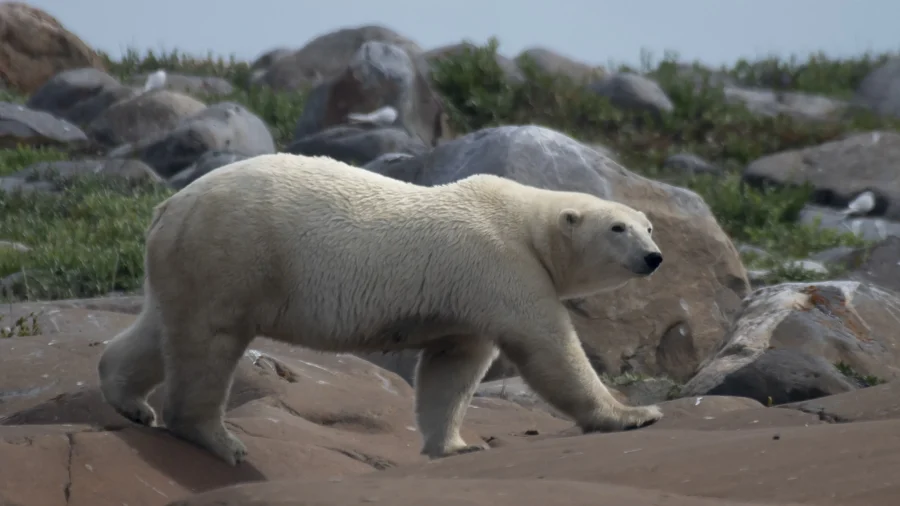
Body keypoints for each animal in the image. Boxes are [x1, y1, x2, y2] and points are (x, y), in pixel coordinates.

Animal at [98, 151, 664, 466]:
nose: (654, 257)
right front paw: (634, 414)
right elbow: (549, 349)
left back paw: (129, 400)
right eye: (618, 228)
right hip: (233, 251)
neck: (525, 222)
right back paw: (219, 440)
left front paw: (456, 446)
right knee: (210, 341)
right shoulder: (501, 265)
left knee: (162, 328)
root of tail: (169, 205)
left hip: (189, 261)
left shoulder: (469, 298)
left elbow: (451, 369)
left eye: (648, 226)